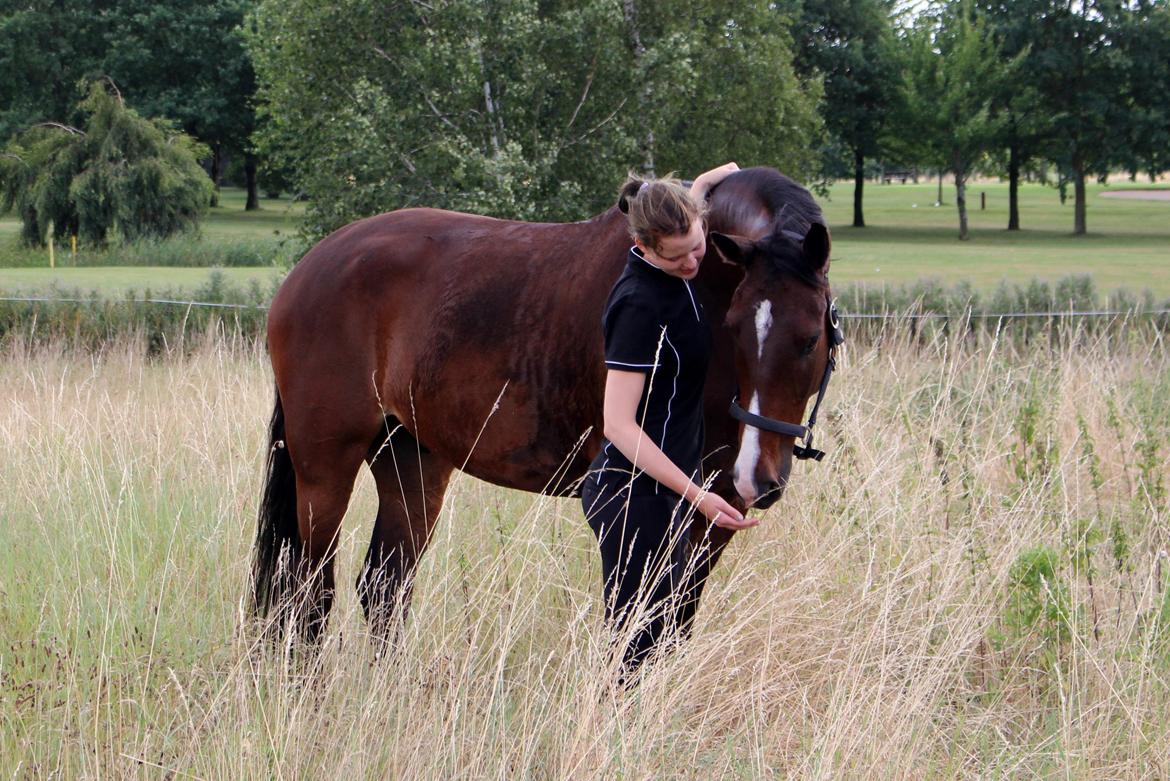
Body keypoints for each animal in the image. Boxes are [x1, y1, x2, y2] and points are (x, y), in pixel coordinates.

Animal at [257, 164, 842, 640]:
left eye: (810, 338)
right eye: (737, 329)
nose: (759, 477)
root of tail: (308, 269)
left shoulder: (713, 511)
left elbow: (672, 624)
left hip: (411, 461)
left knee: (384, 587)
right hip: (325, 471)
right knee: (308, 595)